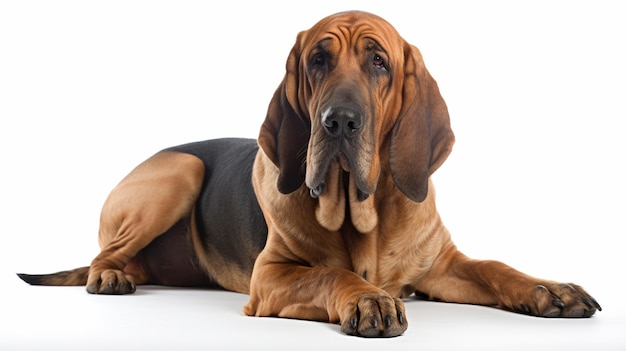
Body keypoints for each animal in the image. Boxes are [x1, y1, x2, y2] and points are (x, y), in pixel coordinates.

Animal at [17, 9, 596, 336]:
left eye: (380, 63)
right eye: (318, 60)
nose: (337, 120)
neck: (364, 214)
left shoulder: (442, 266)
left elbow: (496, 267)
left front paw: (550, 289)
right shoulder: (272, 275)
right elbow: (327, 273)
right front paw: (366, 297)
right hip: (182, 168)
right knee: (105, 254)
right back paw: (110, 276)